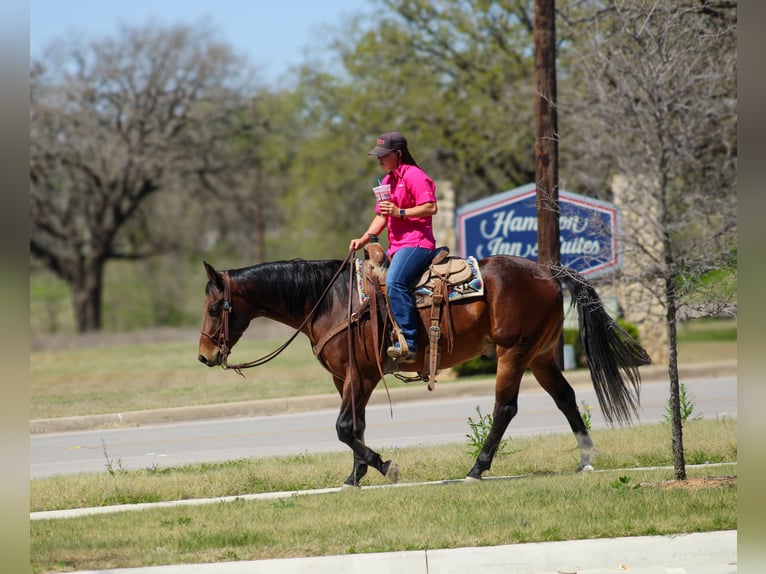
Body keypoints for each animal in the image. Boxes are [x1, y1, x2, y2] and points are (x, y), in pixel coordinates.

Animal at [198, 254, 650, 486]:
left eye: (214, 307)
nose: (203, 356)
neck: (331, 300)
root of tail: (548, 271)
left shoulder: (362, 375)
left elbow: (344, 427)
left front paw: (384, 467)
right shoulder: (346, 377)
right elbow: (355, 425)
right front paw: (355, 476)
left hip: (513, 352)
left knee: (505, 408)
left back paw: (476, 469)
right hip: (540, 355)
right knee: (566, 398)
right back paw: (586, 458)